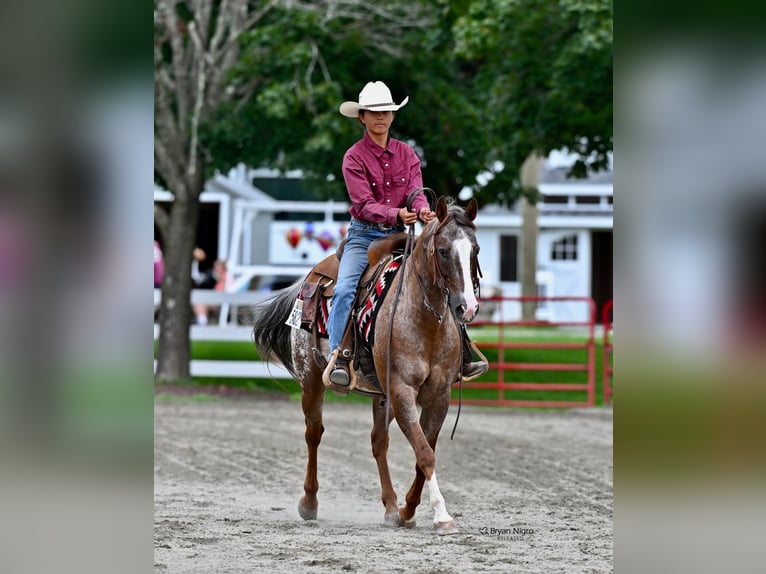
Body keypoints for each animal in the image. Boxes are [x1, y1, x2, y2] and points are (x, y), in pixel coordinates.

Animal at [251, 196, 481, 535]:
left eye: (474, 249)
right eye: (442, 250)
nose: (468, 307)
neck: (424, 321)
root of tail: (311, 277)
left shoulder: (439, 396)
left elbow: (421, 453)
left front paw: (407, 510)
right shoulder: (401, 391)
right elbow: (425, 454)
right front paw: (441, 515)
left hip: (380, 396)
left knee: (378, 443)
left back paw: (390, 506)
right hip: (312, 380)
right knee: (313, 433)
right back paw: (309, 503)